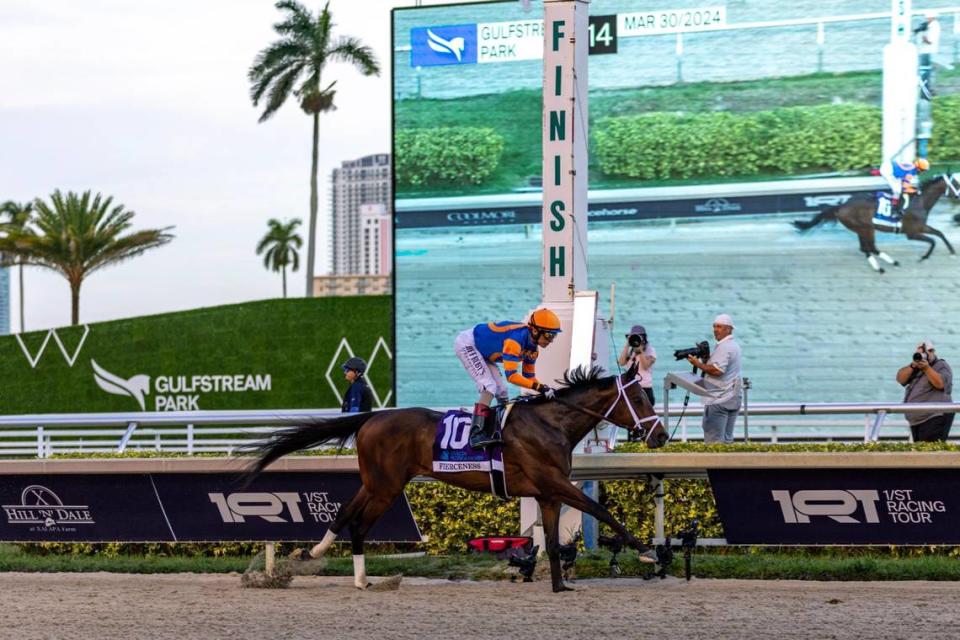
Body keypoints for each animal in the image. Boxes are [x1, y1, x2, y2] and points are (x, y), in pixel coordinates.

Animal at [244, 364, 668, 596]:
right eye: (640, 399)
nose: (662, 436)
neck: (552, 423)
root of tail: (372, 417)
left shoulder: (548, 493)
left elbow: (551, 539)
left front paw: (560, 585)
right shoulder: (554, 483)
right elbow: (601, 510)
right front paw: (648, 552)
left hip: (377, 482)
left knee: (345, 512)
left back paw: (318, 556)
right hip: (387, 487)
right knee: (359, 523)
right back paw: (354, 576)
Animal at [796, 174, 960, 272]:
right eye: (957, 184)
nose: (958, 196)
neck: (919, 202)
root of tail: (841, 206)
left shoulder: (921, 227)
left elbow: (939, 234)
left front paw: (952, 251)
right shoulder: (912, 232)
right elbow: (932, 240)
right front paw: (923, 257)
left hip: (861, 229)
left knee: (865, 248)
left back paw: (885, 265)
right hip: (866, 228)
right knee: (869, 248)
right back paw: (886, 265)